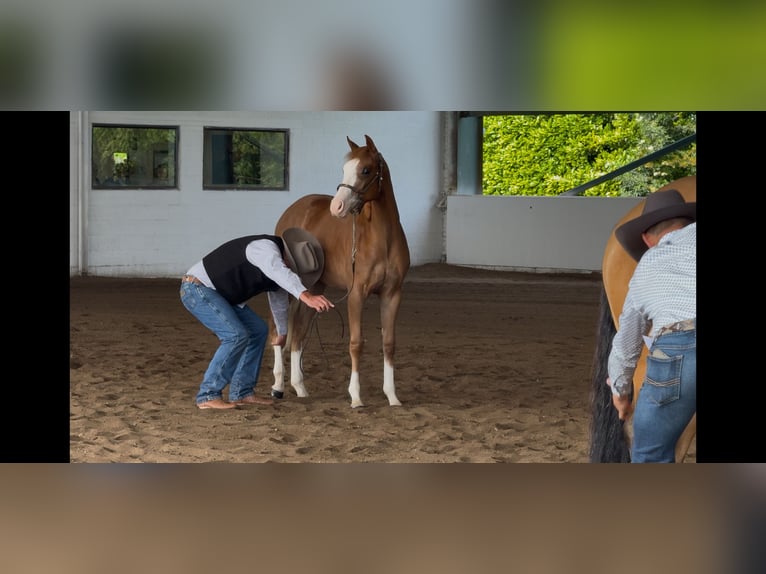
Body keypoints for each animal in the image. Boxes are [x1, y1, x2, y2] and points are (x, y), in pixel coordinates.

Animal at [269, 134, 411, 408]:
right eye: (344, 168)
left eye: (365, 170)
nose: (337, 207)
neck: (382, 239)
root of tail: (292, 211)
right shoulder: (356, 294)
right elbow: (356, 343)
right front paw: (356, 397)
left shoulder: (392, 294)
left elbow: (389, 343)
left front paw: (392, 396)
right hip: (287, 285)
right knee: (278, 330)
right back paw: (278, 385)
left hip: (314, 288)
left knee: (299, 332)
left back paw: (300, 387)